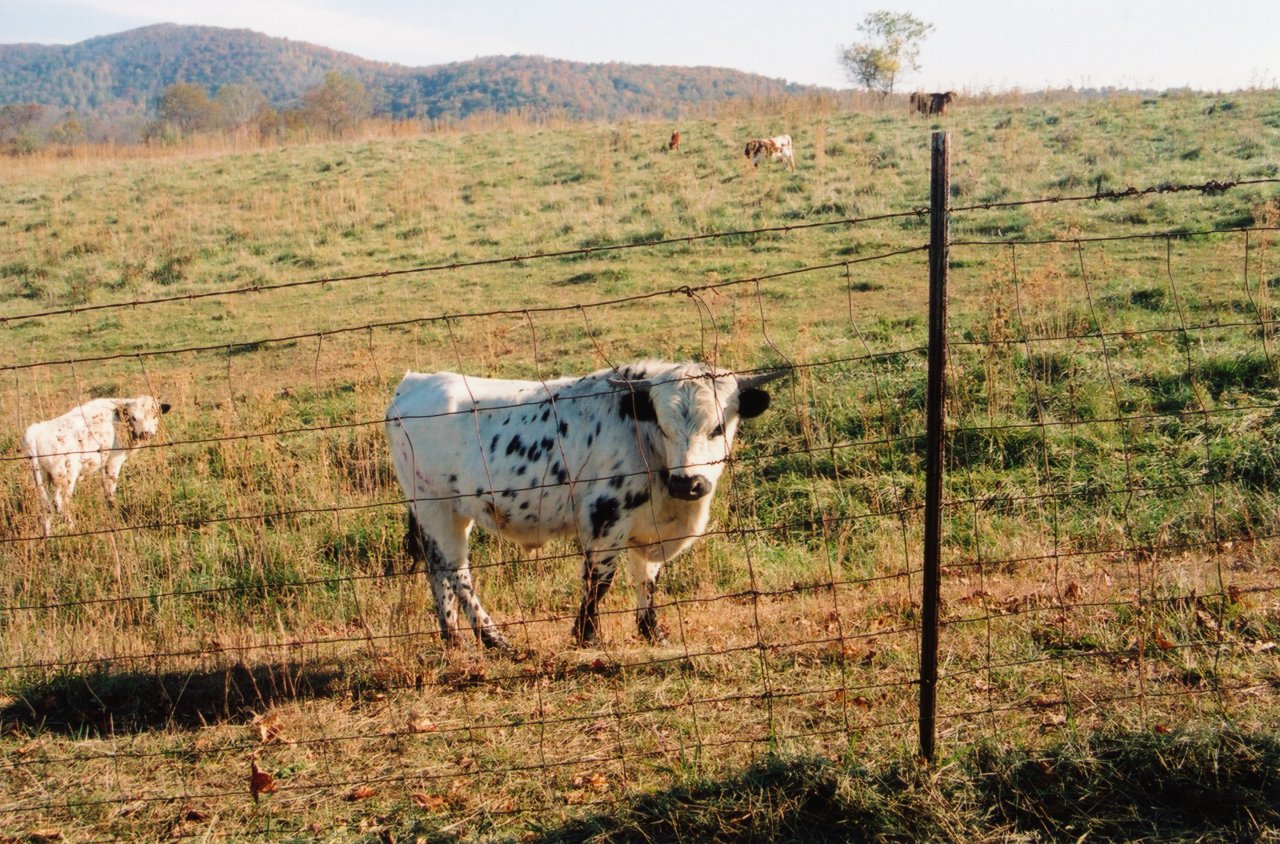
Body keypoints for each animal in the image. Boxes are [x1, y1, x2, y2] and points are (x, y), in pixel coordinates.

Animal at [21, 397, 170, 535]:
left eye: (155, 415)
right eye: (133, 417)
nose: (146, 433)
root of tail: (36, 430)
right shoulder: (114, 459)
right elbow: (110, 488)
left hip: (42, 476)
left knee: (45, 505)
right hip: (66, 475)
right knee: (60, 502)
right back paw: (73, 529)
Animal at [384, 361, 783, 650]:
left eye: (718, 427)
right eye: (665, 427)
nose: (688, 483)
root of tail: (413, 384)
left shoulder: (648, 527)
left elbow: (647, 579)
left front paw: (651, 632)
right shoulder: (605, 518)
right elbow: (599, 580)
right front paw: (587, 637)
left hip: (447, 513)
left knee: (436, 567)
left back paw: (452, 637)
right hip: (434, 506)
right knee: (456, 570)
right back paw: (495, 640)